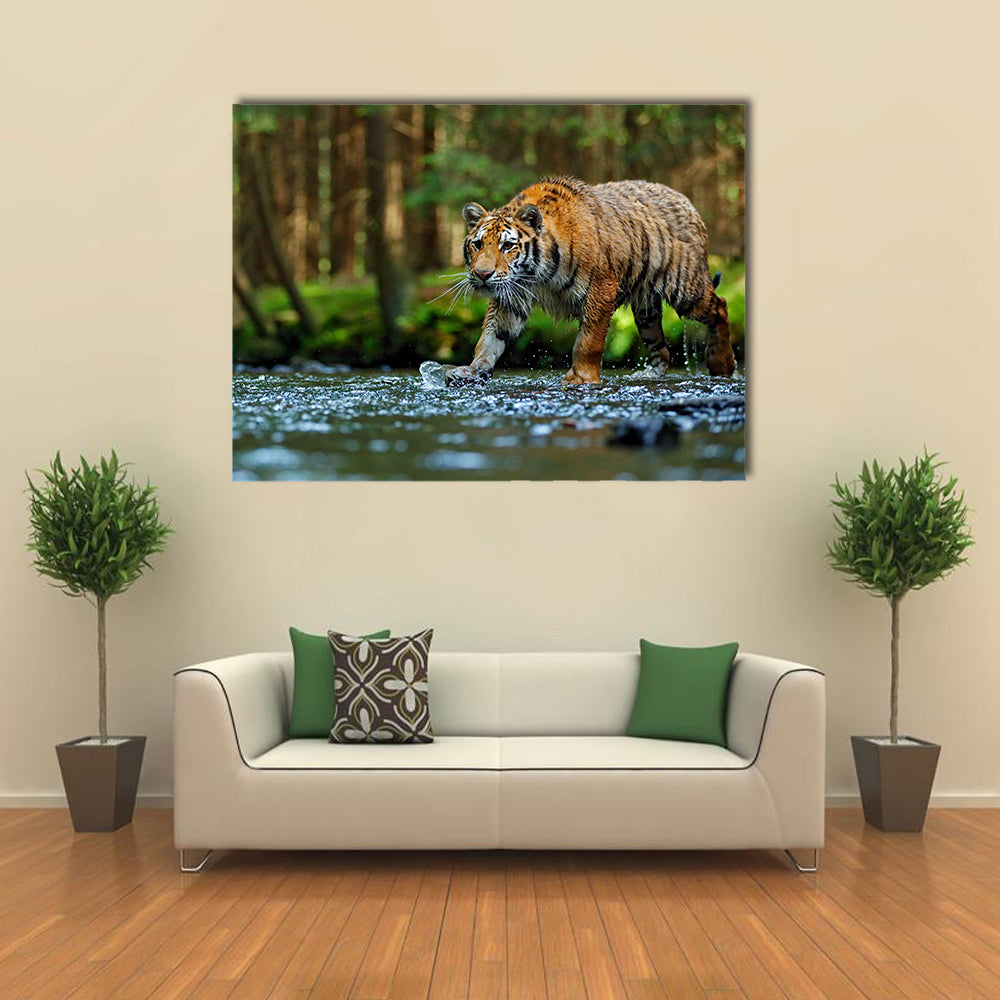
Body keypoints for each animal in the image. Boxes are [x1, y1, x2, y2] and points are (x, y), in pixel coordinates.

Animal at [449, 176, 736, 385]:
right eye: (477, 244)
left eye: (507, 246)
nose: (482, 275)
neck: (536, 275)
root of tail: (686, 201)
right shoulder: (512, 296)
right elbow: (490, 338)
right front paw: (472, 370)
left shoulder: (600, 290)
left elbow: (589, 342)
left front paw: (581, 378)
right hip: (646, 310)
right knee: (661, 348)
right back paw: (648, 375)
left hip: (686, 287)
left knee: (720, 306)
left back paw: (722, 365)